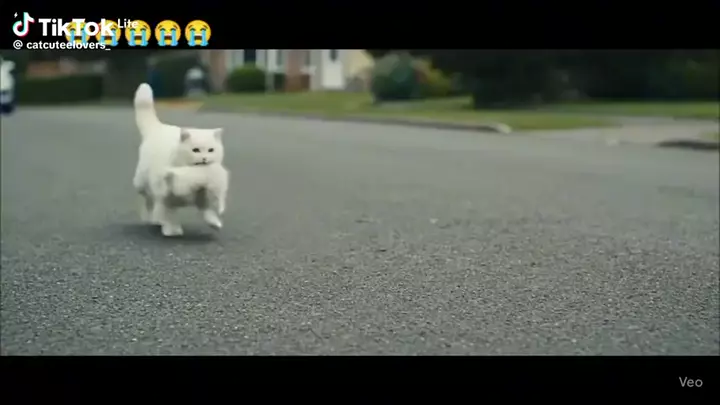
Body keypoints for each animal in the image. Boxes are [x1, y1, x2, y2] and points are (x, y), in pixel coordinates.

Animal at [131, 83, 229, 237]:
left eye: (211, 150)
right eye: (196, 150)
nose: (204, 158)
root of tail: (159, 127)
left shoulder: (202, 198)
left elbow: (206, 210)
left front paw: (214, 222)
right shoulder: (166, 197)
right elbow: (168, 213)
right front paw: (171, 229)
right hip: (141, 184)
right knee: (148, 201)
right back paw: (151, 218)